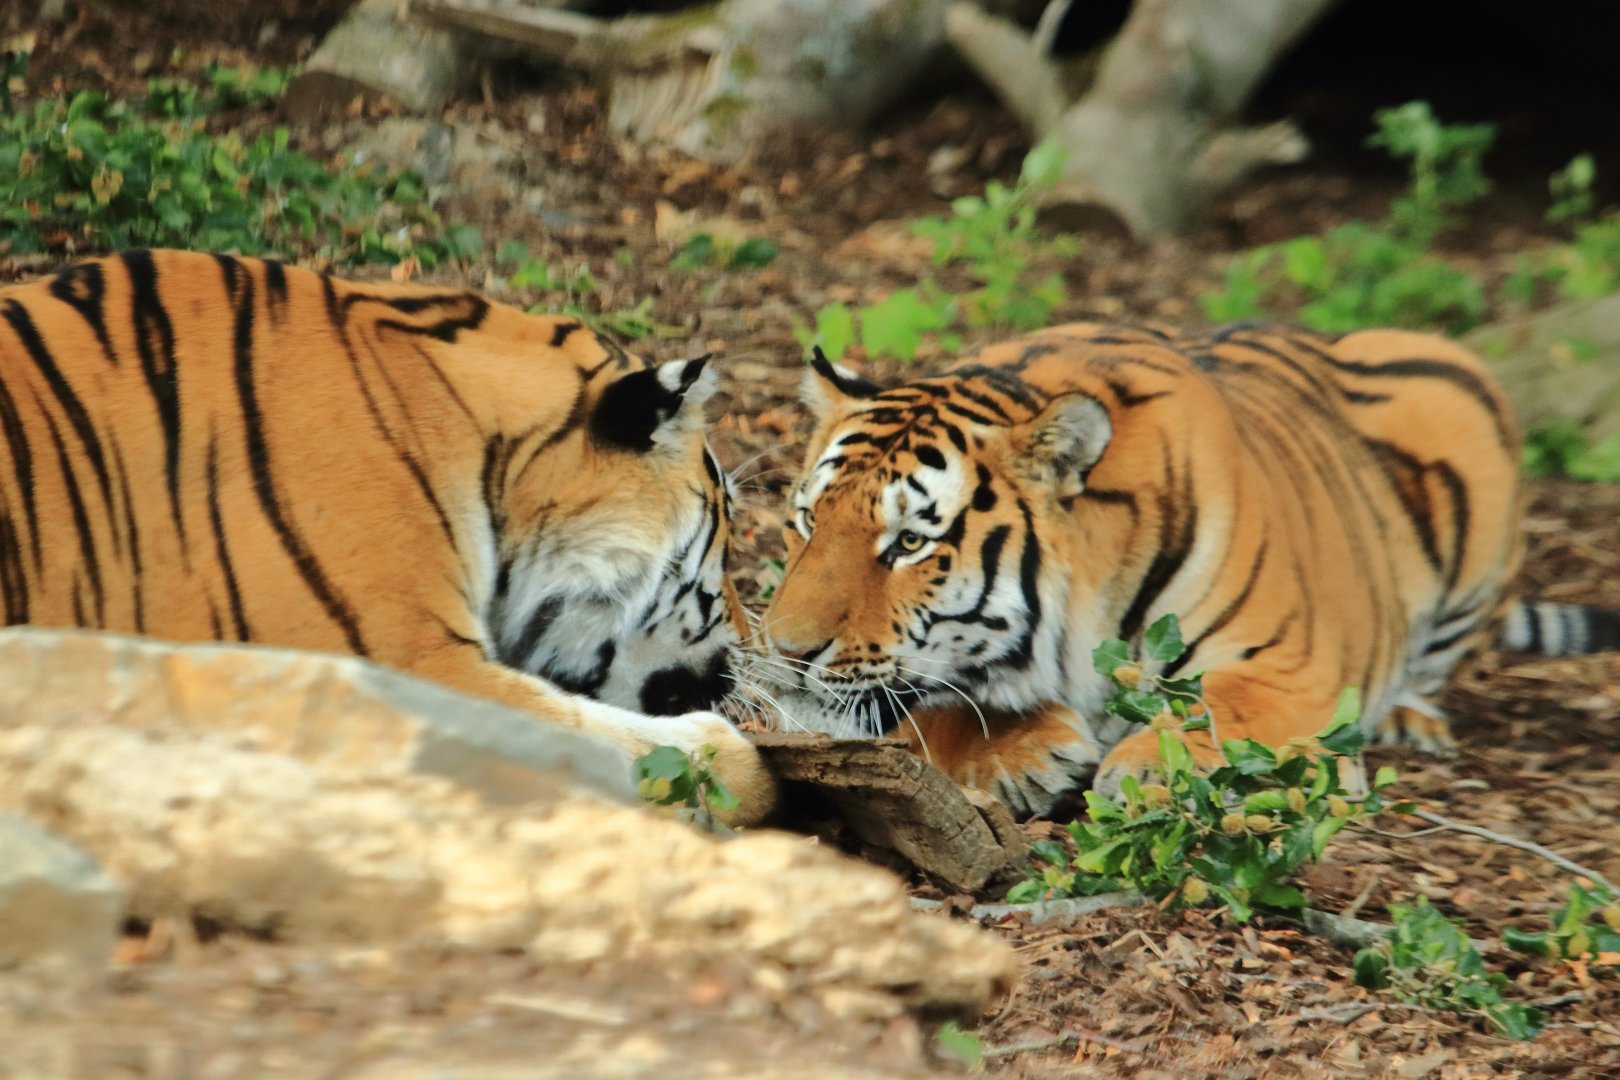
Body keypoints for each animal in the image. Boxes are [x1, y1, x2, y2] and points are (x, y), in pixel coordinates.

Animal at [754, 321, 1620, 819]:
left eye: (908, 543)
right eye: (809, 521)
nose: (785, 653)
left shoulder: (1293, 670)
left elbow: (1225, 712)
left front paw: (1149, 769)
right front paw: (1019, 755)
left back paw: (1411, 718)